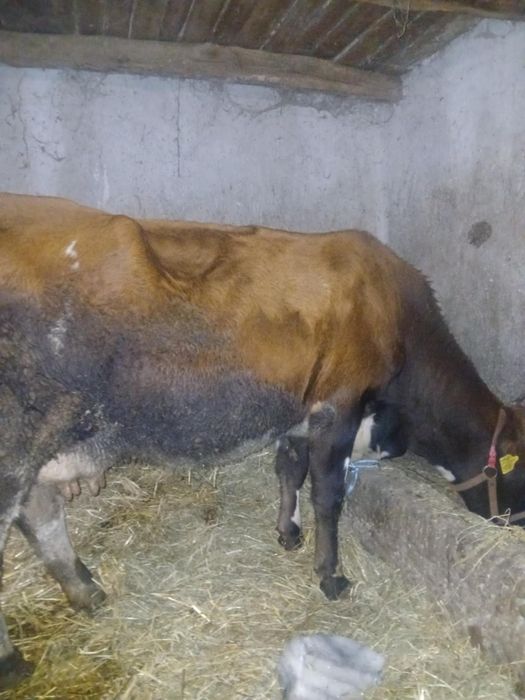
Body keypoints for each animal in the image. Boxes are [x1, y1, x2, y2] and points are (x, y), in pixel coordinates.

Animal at [1, 193, 525, 687]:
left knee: (42, 515)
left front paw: (288, 532)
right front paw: (330, 575)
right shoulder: (339, 405)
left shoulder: (299, 411)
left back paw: (85, 592)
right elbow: (328, 494)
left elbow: (289, 468)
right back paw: (12, 658)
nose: (516, 524)